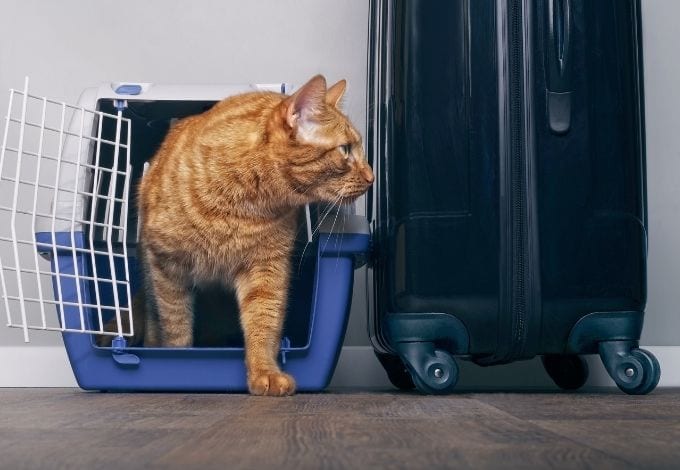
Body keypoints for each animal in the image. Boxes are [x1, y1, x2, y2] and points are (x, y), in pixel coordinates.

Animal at [104, 75, 374, 394]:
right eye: (345, 150)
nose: (372, 177)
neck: (243, 201)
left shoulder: (266, 269)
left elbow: (263, 323)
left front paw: (264, 372)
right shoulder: (166, 268)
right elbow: (176, 328)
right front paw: (178, 361)